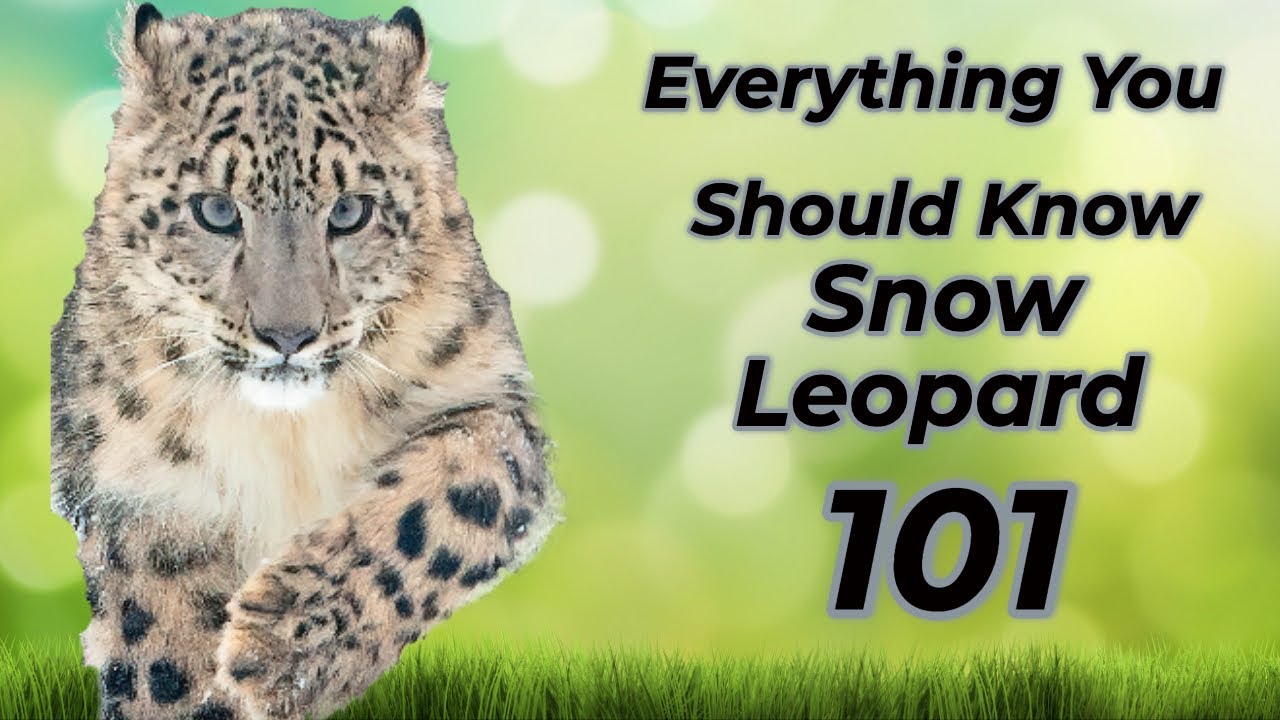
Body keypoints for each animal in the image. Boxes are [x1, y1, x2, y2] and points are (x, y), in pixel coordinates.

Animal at [50, 4, 562, 718]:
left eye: (349, 211)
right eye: (215, 209)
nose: (287, 335)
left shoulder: (490, 403)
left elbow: (441, 502)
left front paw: (284, 647)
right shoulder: (137, 479)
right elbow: (160, 637)